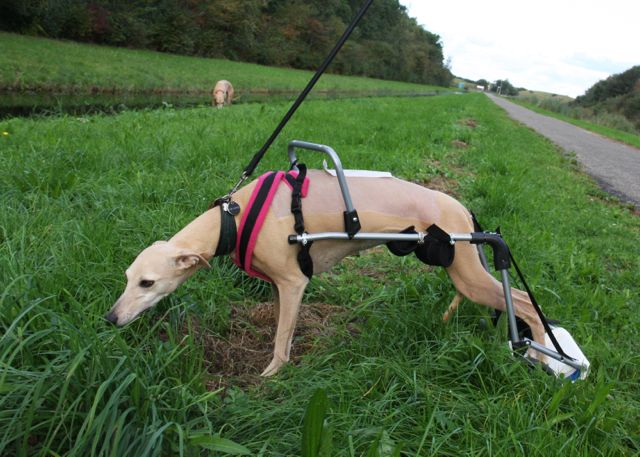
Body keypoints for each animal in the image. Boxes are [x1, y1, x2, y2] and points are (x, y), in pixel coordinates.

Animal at [105, 170, 547, 376]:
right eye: (127, 277)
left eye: (147, 282)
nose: (110, 318)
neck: (234, 216)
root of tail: (463, 209)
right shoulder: (280, 288)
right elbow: (279, 327)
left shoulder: (294, 283)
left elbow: (281, 344)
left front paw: (271, 377)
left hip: (468, 274)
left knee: (524, 300)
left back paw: (542, 355)